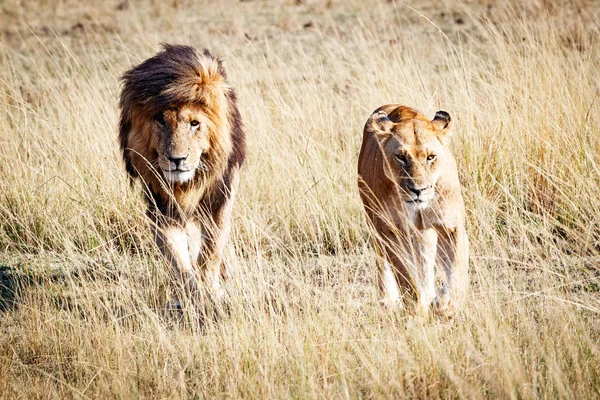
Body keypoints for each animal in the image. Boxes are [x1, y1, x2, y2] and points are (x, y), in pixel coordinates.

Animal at [118, 43, 245, 306]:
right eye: (160, 120)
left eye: (194, 123)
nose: (177, 159)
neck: (186, 184)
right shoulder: (162, 208)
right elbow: (177, 260)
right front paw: (193, 296)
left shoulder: (220, 199)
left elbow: (212, 250)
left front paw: (211, 292)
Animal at [356, 105, 468, 316]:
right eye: (401, 157)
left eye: (430, 157)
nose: (418, 190)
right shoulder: (389, 231)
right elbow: (405, 276)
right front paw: (418, 306)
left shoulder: (451, 226)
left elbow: (457, 266)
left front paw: (446, 304)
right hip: (376, 226)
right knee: (384, 265)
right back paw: (390, 301)